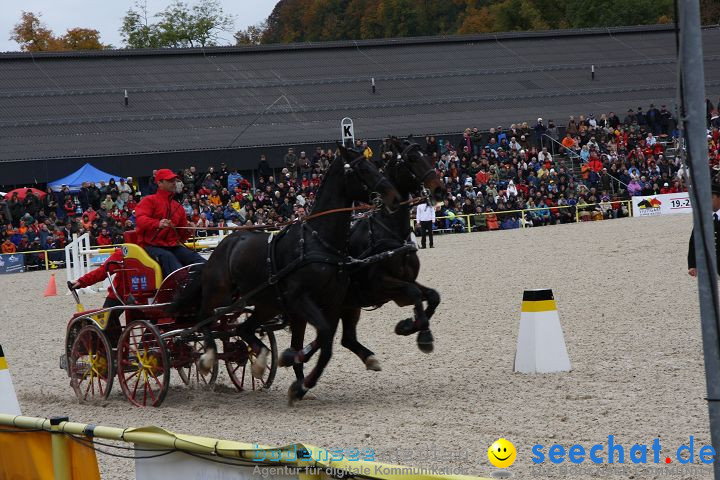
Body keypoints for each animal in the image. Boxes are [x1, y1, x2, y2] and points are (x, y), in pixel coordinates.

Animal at [172, 148, 402, 404]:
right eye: (361, 169)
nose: (394, 197)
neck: (316, 242)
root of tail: (223, 244)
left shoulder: (328, 304)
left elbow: (323, 342)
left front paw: (299, 380)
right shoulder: (301, 301)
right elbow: (324, 339)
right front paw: (299, 379)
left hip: (266, 304)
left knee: (242, 329)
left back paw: (260, 361)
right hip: (218, 292)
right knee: (204, 320)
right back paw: (207, 359)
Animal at [280, 139, 444, 378]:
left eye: (426, 155)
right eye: (412, 158)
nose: (440, 189)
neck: (389, 232)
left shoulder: (405, 283)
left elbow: (432, 296)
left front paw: (407, 326)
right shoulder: (380, 286)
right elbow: (415, 294)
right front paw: (422, 335)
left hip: (346, 305)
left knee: (342, 338)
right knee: (316, 340)